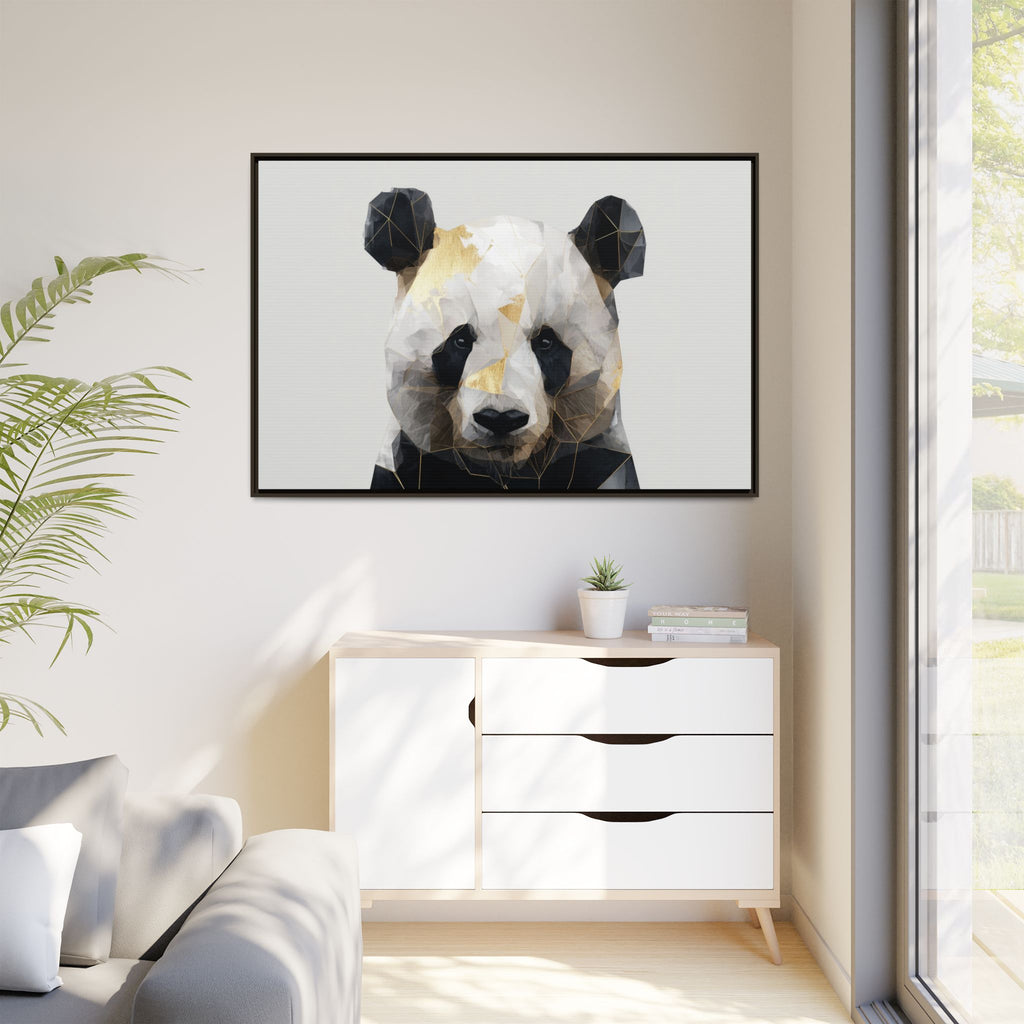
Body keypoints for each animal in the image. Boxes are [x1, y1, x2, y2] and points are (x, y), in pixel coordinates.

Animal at [364, 188, 645, 492]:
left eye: (546, 342)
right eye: (460, 341)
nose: (500, 418)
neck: (505, 471)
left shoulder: (599, 460)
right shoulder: (406, 463)